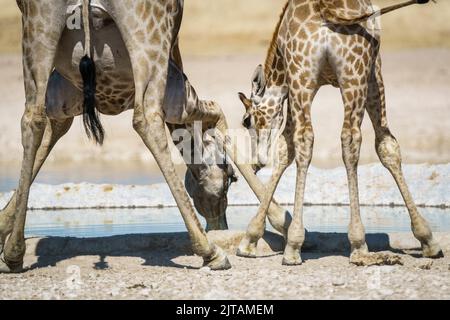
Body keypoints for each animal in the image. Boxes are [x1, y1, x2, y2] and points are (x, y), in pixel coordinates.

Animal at [236, 0, 442, 264]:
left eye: (246, 121)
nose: (255, 162)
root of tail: (324, 11)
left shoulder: (295, 85)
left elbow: (285, 148)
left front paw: (250, 238)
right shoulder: (371, 70)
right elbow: (387, 145)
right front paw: (427, 239)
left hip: (313, 76)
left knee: (315, 139)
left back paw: (297, 246)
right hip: (349, 75)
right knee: (347, 139)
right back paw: (355, 245)